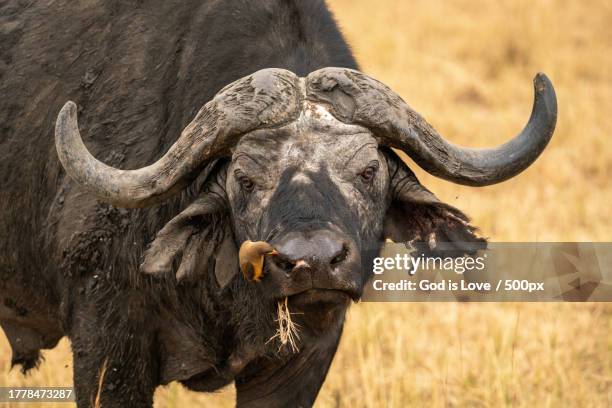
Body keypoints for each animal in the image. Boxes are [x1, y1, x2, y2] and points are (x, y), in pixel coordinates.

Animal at [0, 1, 556, 406]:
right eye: (245, 180)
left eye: (368, 172)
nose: (312, 262)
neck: (226, 294)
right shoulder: (107, 348)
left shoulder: (304, 359)